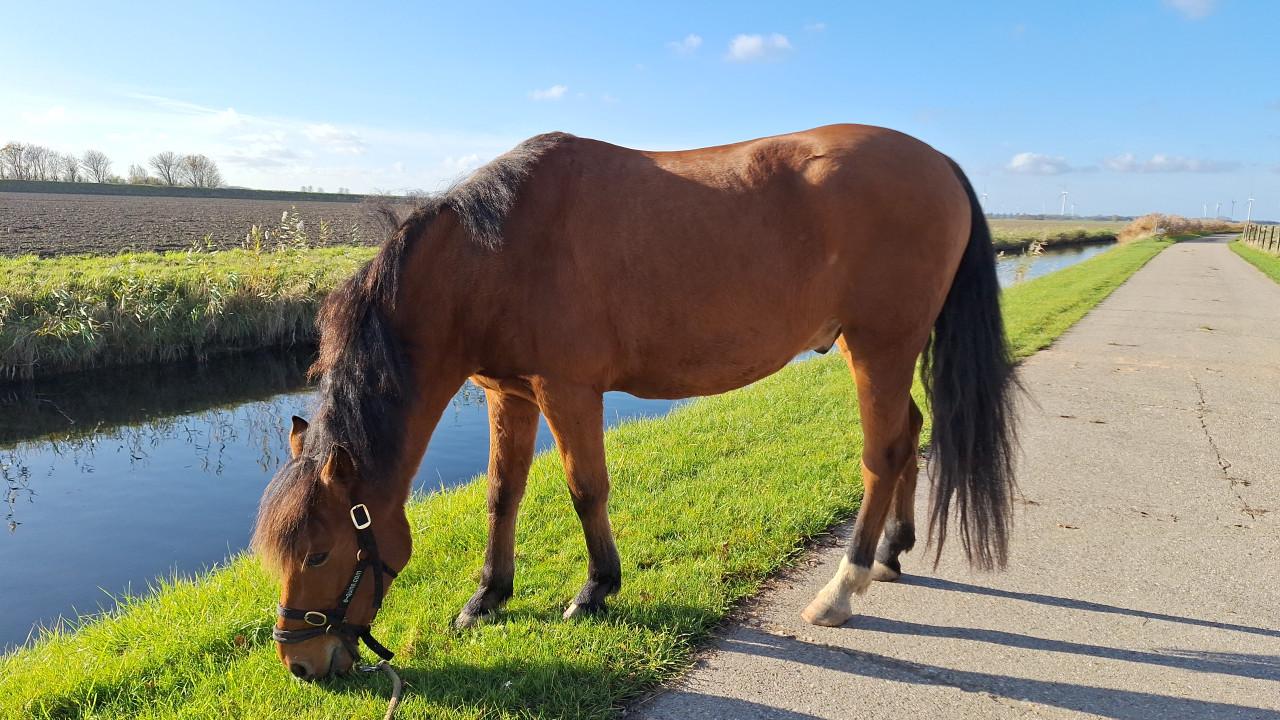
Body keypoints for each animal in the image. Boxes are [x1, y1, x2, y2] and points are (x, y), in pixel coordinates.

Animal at [253, 124, 1018, 680]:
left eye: (318, 554)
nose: (301, 665)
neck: (492, 252)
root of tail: (939, 162)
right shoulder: (509, 395)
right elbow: (503, 494)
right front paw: (486, 598)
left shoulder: (567, 391)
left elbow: (585, 489)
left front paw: (595, 590)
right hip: (889, 354)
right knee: (911, 434)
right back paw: (892, 551)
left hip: (879, 348)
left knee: (882, 454)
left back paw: (842, 589)